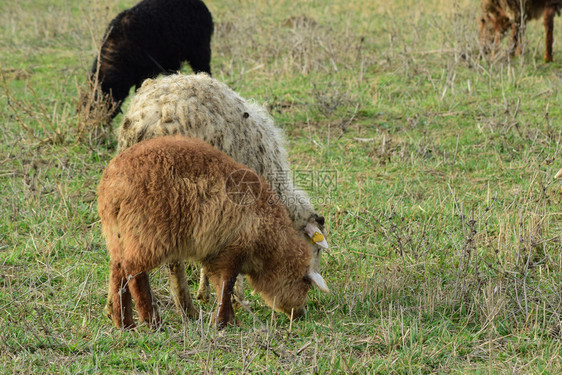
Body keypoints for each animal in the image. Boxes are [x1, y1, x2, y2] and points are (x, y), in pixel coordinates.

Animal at [97, 137, 328, 330]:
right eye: (305, 283)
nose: (300, 314)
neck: (272, 240)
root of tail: (113, 185)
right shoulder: (231, 250)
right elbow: (227, 284)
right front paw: (223, 322)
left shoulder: (217, 255)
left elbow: (221, 284)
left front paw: (227, 320)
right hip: (148, 233)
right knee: (134, 272)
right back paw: (152, 321)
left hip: (118, 234)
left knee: (118, 270)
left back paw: (124, 323)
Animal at [112, 72, 326, 316]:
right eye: (314, 251)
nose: (299, 312)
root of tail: (150, 120)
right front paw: (235, 297)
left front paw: (206, 292)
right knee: (173, 261)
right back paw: (187, 310)